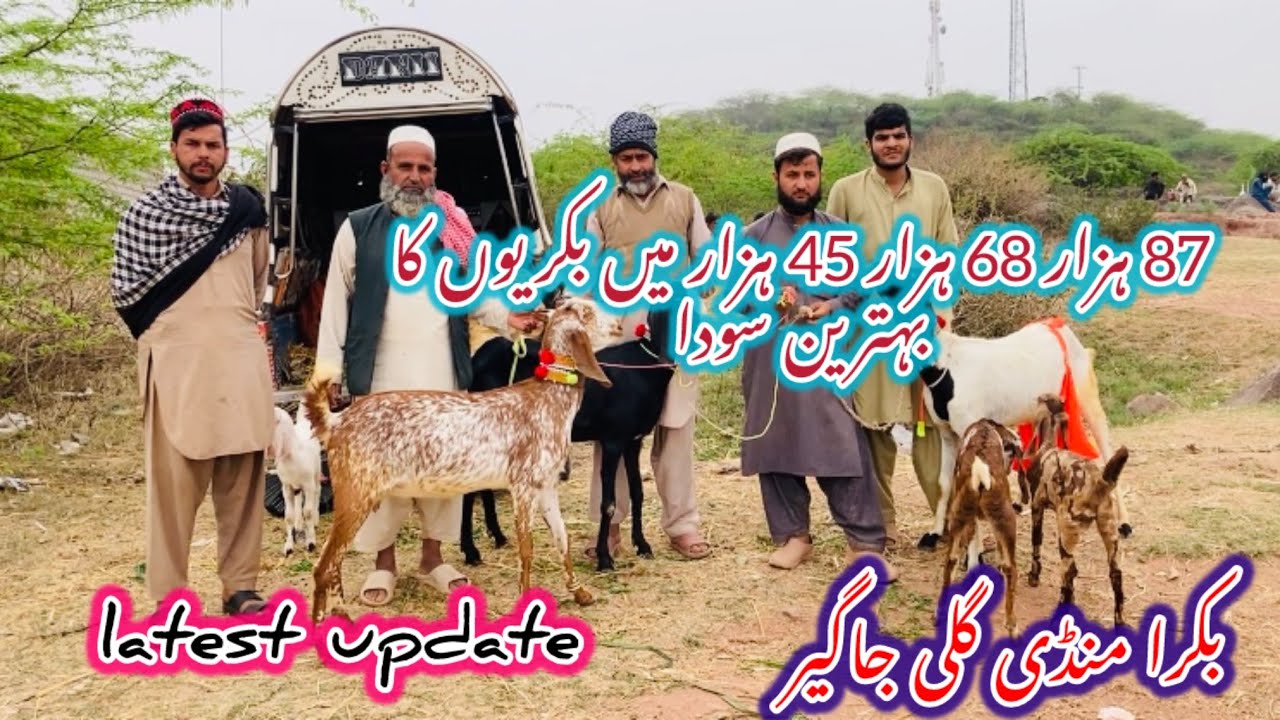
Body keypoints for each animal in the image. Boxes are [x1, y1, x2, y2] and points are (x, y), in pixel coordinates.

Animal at [268, 406, 323, 556]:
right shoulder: (286, 486)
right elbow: (288, 516)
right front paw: (288, 547)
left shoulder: (308, 484)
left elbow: (308, 512)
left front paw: (311, 542)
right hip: (296, 486)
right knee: (299, 498)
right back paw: (298, 524)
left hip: (316, 472)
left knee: (318, 491)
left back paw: (315, 519)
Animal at [303, 297, 615, 623]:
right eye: (588, 313)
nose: (619, 325)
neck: (549, 397)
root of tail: (336, 422)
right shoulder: (524, 487)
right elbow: (527, 550)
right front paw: (526, 603)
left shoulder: (546, 486)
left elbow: (562, 537)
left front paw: (579, 592)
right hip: (355, 494)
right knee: (323, 564)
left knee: (334, 561)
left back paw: (342, 613)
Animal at [917, 316, 1127, 550]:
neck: (947, 366)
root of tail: (1059, 326)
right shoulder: (946, 434)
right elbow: (944, 483)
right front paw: (933, 534)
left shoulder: (969, 430)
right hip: (1041, 411)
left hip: (1086, 397)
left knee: (1105, 447)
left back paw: (1123, 523)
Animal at [941, 418, 1024, 636]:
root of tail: (979, 469)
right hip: (1006, 518)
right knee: (1011, 568)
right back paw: (1012, 624)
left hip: (959, 514)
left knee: (951, 560)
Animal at [1023, 394, 1131, 627]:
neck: (1049, 445)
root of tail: (1100, 481)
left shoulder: (1037, 507)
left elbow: (1036, 542)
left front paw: (1034, 577)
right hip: (1110, 532)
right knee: (1116, 576)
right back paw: (1118, 622)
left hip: (1067, 531)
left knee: (1070, 571)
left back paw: (1063, 607)